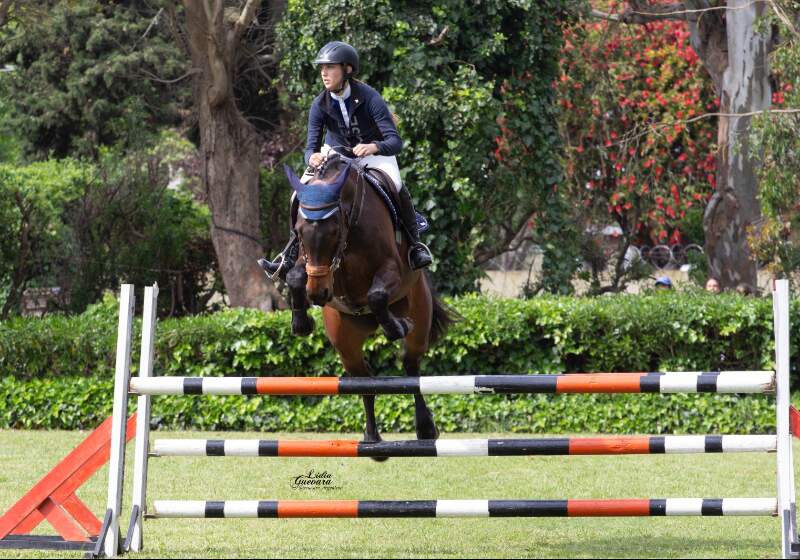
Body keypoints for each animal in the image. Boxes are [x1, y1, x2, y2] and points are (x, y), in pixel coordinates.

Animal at [282, 152, 456, 450]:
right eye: (299, 230)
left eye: (333, 231)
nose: (318, 294)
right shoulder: (316, 268)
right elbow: (294, 277)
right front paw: (301, 323)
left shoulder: (391, 270)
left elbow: (376, 295)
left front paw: (396, 327)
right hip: (346, 343)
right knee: (365, 382)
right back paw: (372, 438)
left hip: (418, 316)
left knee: (411, 368)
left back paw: (425, 428)